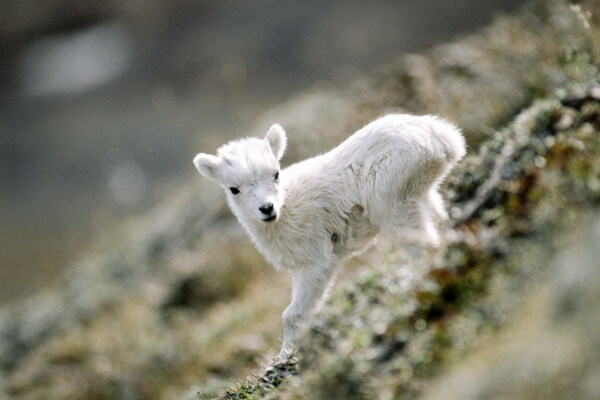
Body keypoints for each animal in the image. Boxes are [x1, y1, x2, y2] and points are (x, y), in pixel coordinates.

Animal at [195, 114, 466, 354]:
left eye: (276, 174)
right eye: (234, 189)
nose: (267, 208)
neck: (287, 211)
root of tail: (441, 137)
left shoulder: (314, 264)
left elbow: (293, 316)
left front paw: (285, 356)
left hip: (394, 208)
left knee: (425, 247)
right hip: (422, 195)